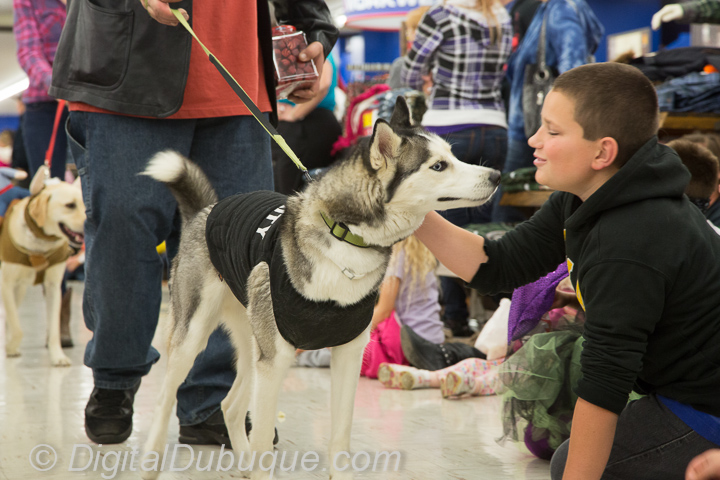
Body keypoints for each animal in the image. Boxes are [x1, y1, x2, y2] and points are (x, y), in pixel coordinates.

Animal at [1, 167, 85, 366]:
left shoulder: (53, 286)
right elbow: (17, 326)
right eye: (70, 205)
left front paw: (58, 356)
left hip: (20, 289)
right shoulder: (6, 284)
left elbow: (53, 327)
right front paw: (12, 347)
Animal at [141, 98, 500, 480]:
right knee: (166, 398)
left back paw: (242, 461)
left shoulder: (347, 353)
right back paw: (151, 461)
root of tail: (205, 211)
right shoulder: (275, 361)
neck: (345, 236)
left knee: (230, 405)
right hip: (196, 336)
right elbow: (264, 437)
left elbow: (340, 434)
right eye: (438, 165)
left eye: (452, 155)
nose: (496, 176)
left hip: (254, 344)